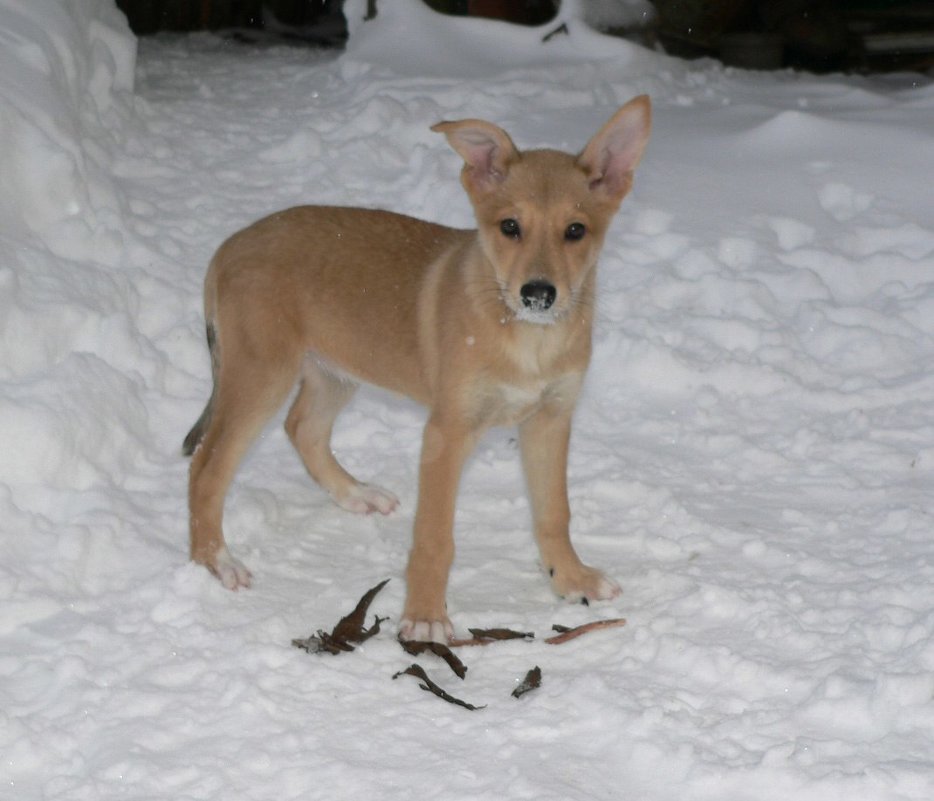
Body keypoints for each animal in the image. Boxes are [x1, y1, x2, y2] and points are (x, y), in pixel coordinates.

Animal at [183, 95, 652, 644]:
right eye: (509, 227)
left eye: (575, 231)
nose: (538, 294)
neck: (529, 337)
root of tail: (228, 247)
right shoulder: (448, 431)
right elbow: (434, 535)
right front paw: (426, 616)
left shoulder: (550, 419)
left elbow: (554, 512)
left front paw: (571, 579)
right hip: (262, 372)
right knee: (208, 466)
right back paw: (215, 563)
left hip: (335, 367)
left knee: (303, 428)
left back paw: (356, 495)